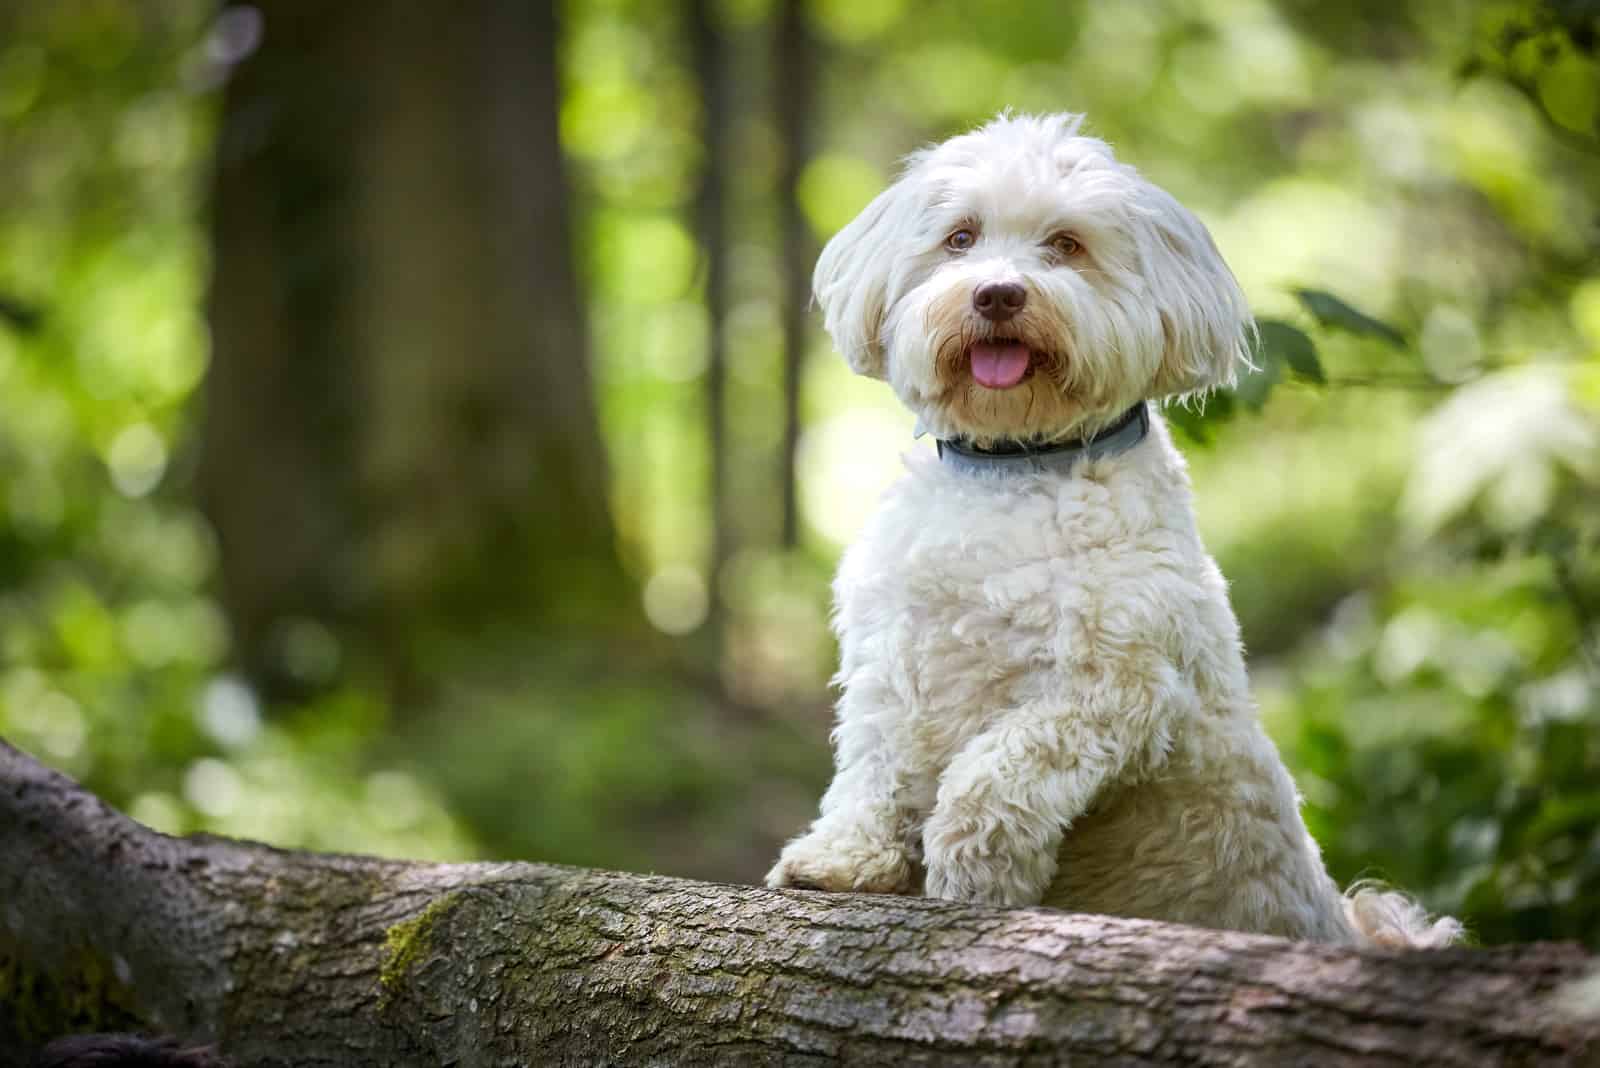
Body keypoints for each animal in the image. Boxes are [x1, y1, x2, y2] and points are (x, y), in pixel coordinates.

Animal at [764, 115, 1465, 952]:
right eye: (961, 237)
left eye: (1066, 244)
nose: (997, 293)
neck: (1019, 464)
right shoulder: (894, 658)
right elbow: (873, 767)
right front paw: (842, 858)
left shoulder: (1114, 688)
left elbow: (996, 769)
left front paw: (973, 870)